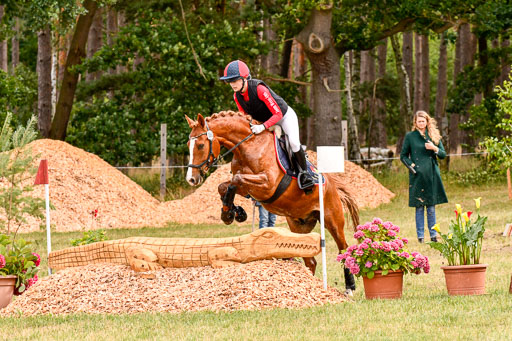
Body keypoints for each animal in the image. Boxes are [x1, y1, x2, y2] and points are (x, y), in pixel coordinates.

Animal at [186, 110, 358, 290]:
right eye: (188, 145)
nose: (191, 179)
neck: (248, 146)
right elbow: (224, 186)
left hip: (332, 221)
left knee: (343, 250)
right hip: (298, 226)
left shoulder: (267, 184)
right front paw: (232, 213)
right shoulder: (248, 188)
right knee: (310, 260)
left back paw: (349, 288)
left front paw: (234, 213)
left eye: (200, 145)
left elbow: (236, 180)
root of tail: (332, 185)